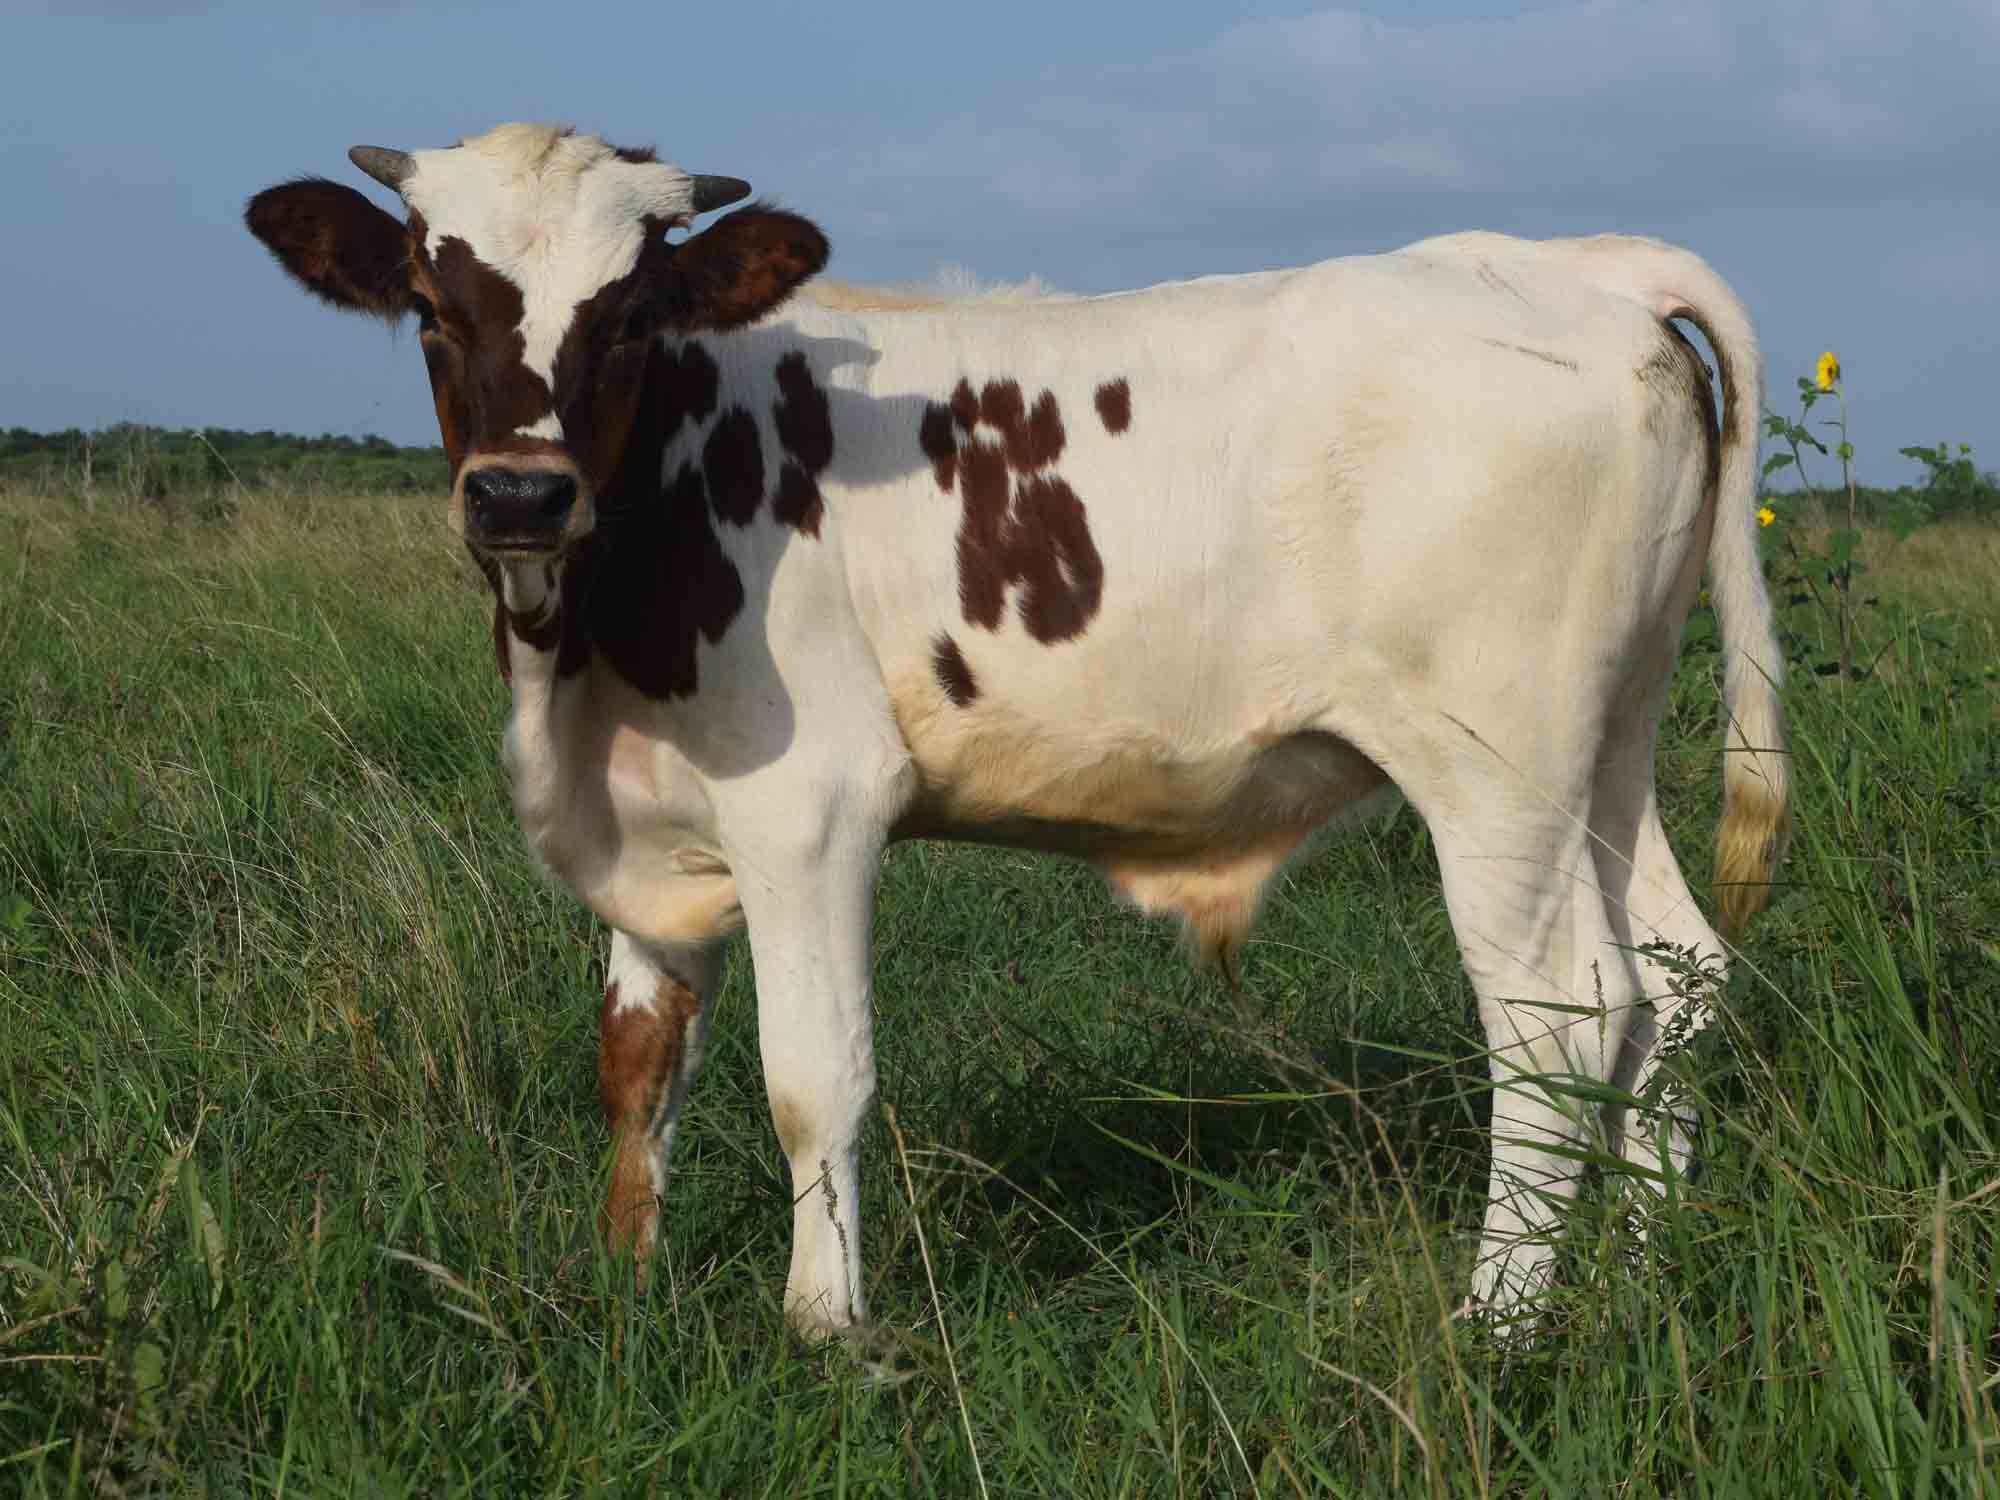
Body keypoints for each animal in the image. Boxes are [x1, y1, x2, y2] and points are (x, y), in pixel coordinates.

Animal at [245, 122, 1789, 1333]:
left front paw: (825, 1328)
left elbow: (813, 1080)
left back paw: (1501, 1326)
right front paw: (626, 1289)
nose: (518, 495)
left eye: (625, 316)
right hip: (1610, 736)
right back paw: (1637, 1279)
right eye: (431, 305)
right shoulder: (646, 813)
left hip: (1497, 769)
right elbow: (639, 1067)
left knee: (1560, 1019)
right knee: (1675, 976)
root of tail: (1573, 262)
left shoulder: (810, 811)